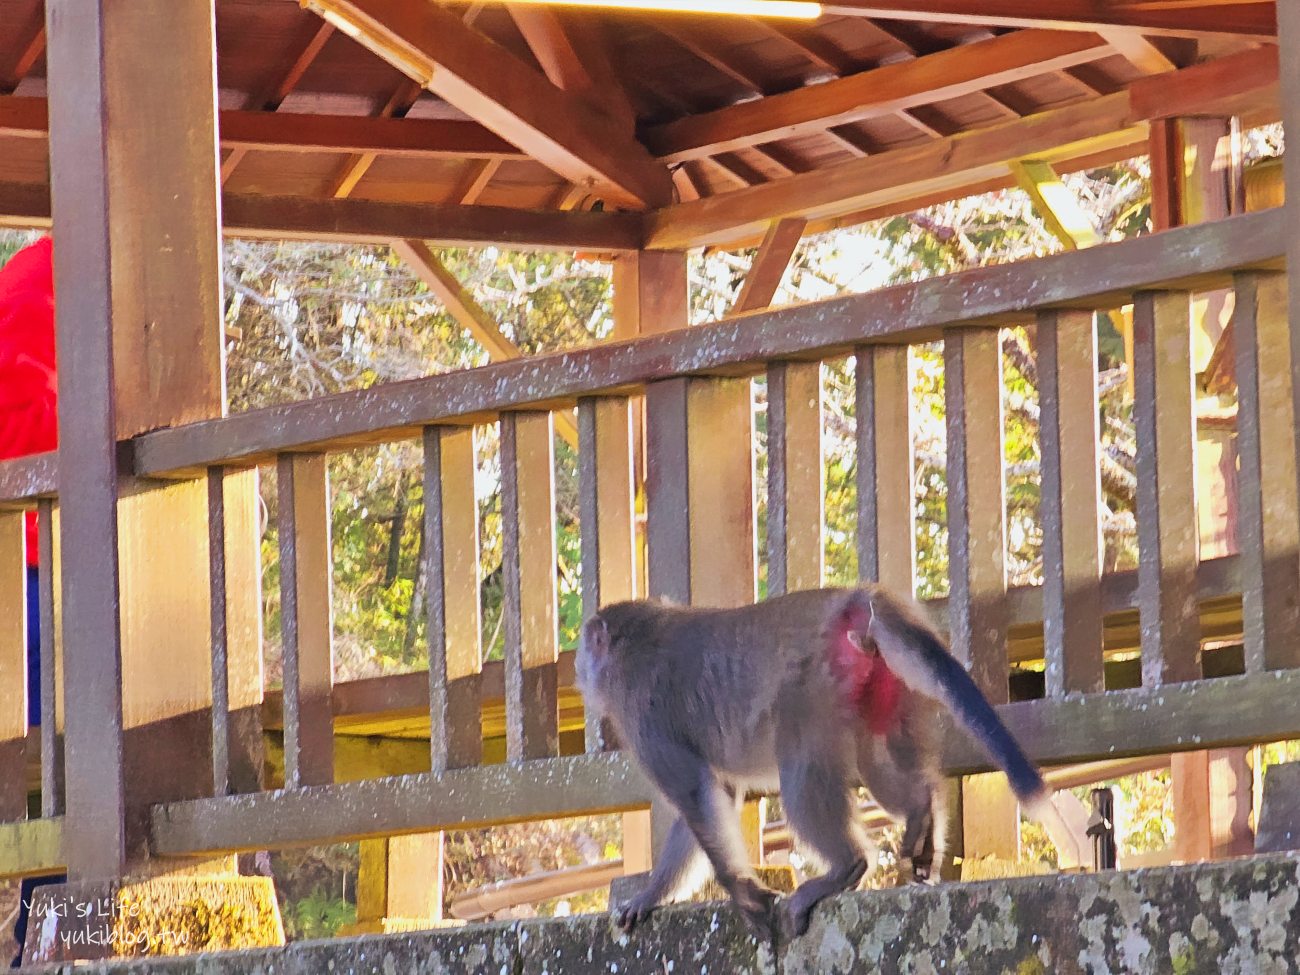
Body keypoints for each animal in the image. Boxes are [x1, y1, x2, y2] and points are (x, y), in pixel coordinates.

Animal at [577, 585, 1076, 941]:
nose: (580, 671)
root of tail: (854, 600)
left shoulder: (642, 716)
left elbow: (696, 793)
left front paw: (743, 892)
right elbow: (713, 793)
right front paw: (652, 894)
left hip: (812, 689)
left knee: (800, 773)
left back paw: (846, 868)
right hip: (884, 682)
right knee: (879, 756)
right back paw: (920, 815)